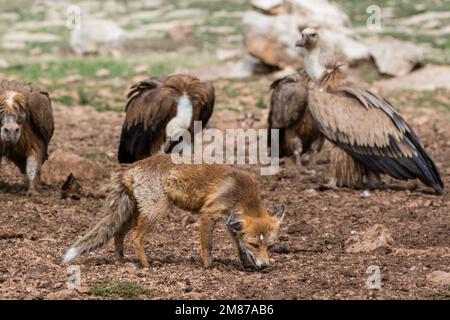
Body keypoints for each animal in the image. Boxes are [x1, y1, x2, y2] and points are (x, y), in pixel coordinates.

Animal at [63, 154, 284, 268]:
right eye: (255, 244)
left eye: (270, 246)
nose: (265, 266)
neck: (241, 194)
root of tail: (131, 167)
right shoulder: (208, 213)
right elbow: (208, 245)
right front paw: (208, 266)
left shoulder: (231, 222)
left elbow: (238, 246)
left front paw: (246, 263)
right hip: (156, 211)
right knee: (136, 238)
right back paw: (146, 265)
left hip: (135, 214)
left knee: (118, 233)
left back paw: (121, 260)